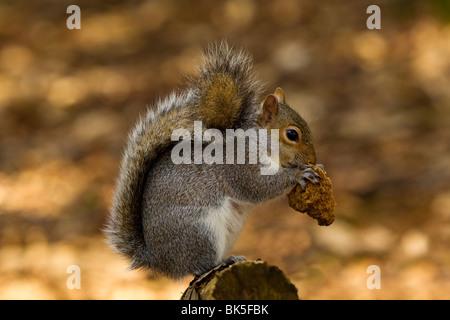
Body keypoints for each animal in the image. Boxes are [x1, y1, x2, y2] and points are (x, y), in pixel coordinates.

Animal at [104, 41, 320, 278]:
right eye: (292, 134)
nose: (312, 158)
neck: (261, 143)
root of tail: (159, 260)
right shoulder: (241, 165)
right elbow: (258, 187)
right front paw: (300, 173)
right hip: (201, 232)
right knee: (198, 267)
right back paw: (220, 262)